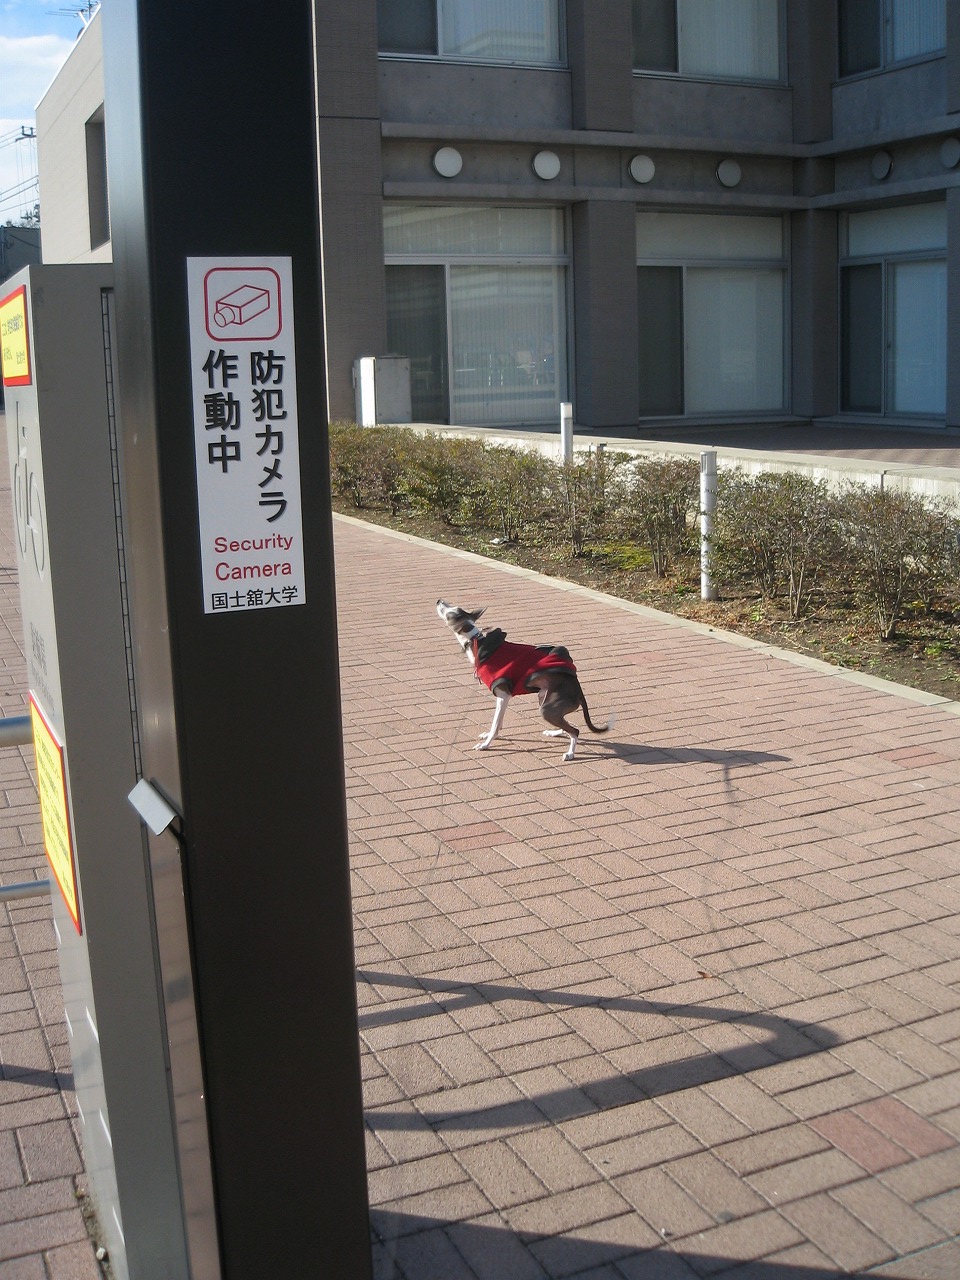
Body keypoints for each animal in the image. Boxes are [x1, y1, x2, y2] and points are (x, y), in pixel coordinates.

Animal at [436, 600, 611, 761]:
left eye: (449, 613)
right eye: (451, 607)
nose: (439, 601)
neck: (476, 643)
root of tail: (577, 687)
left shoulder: (503, 695)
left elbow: (495, 723)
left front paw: (486, 744)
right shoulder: (503, 698)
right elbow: (497, 722)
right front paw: (490, 735)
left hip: (547, 709)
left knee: (575, 731)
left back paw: (570, 753)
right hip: (545, 698)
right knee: (566, 726)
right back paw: (554, 733)